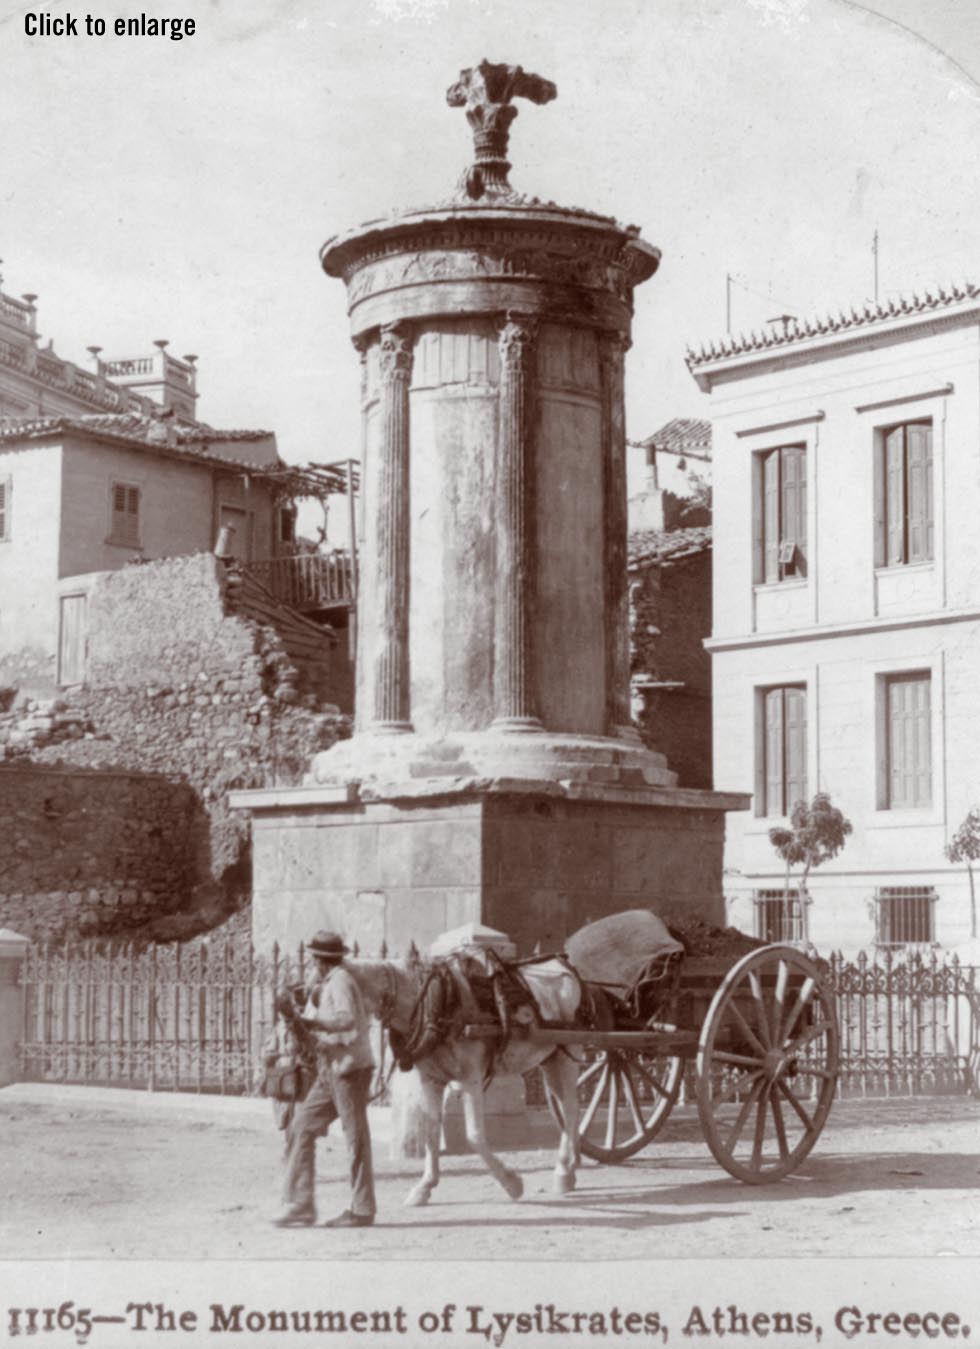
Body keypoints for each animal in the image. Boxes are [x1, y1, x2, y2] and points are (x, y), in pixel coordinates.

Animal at [348, 955, 588, 1208]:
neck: (434, 1001)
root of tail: (565, 967)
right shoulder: (431, 1080)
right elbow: (431, 1131)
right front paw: (425, 1186)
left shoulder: (470, 1079)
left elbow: (474, 1135)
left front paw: (512, 1184)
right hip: (550, 1058)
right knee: (563, 1106)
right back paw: (571, 1166)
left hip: (569, 1051)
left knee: (571, 1108)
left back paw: (564, 1170)